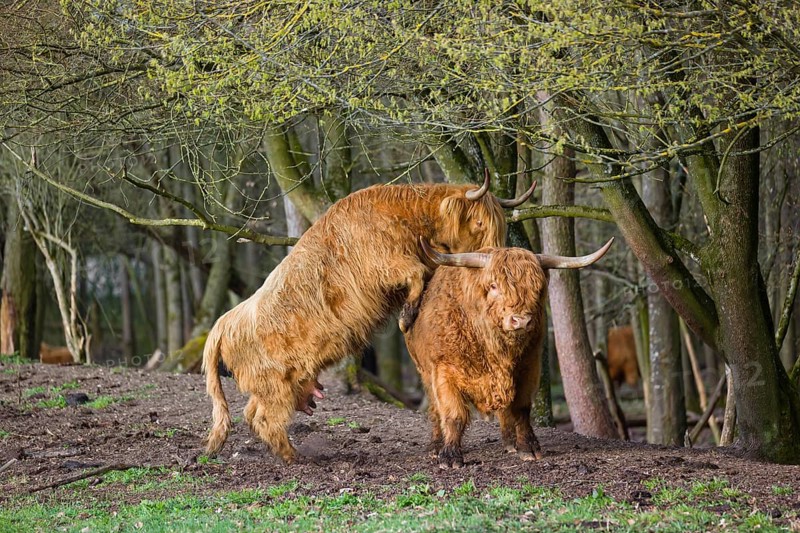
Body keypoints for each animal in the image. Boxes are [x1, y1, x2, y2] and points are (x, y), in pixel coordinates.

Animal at [203, 173, 535, 463]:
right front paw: (406, 317)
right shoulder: (385, 267)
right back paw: (294, 458)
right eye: (478, 223)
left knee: (251, 413)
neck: (407, 218)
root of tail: (221, 325)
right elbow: (416, 274)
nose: (494, 257)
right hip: (274, 386)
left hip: (275, 385)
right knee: (264, 418)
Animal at [404, 237, 614, 468]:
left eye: (538, 288)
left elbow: (521, 409)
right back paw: (435, 446)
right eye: (494, 285)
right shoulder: (444, 371)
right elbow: (453, 415)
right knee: (434, 409)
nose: (521, 320)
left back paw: (510, 442)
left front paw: (528, 447)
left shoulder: (528, 367)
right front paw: (450, 456)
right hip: (425, 372)